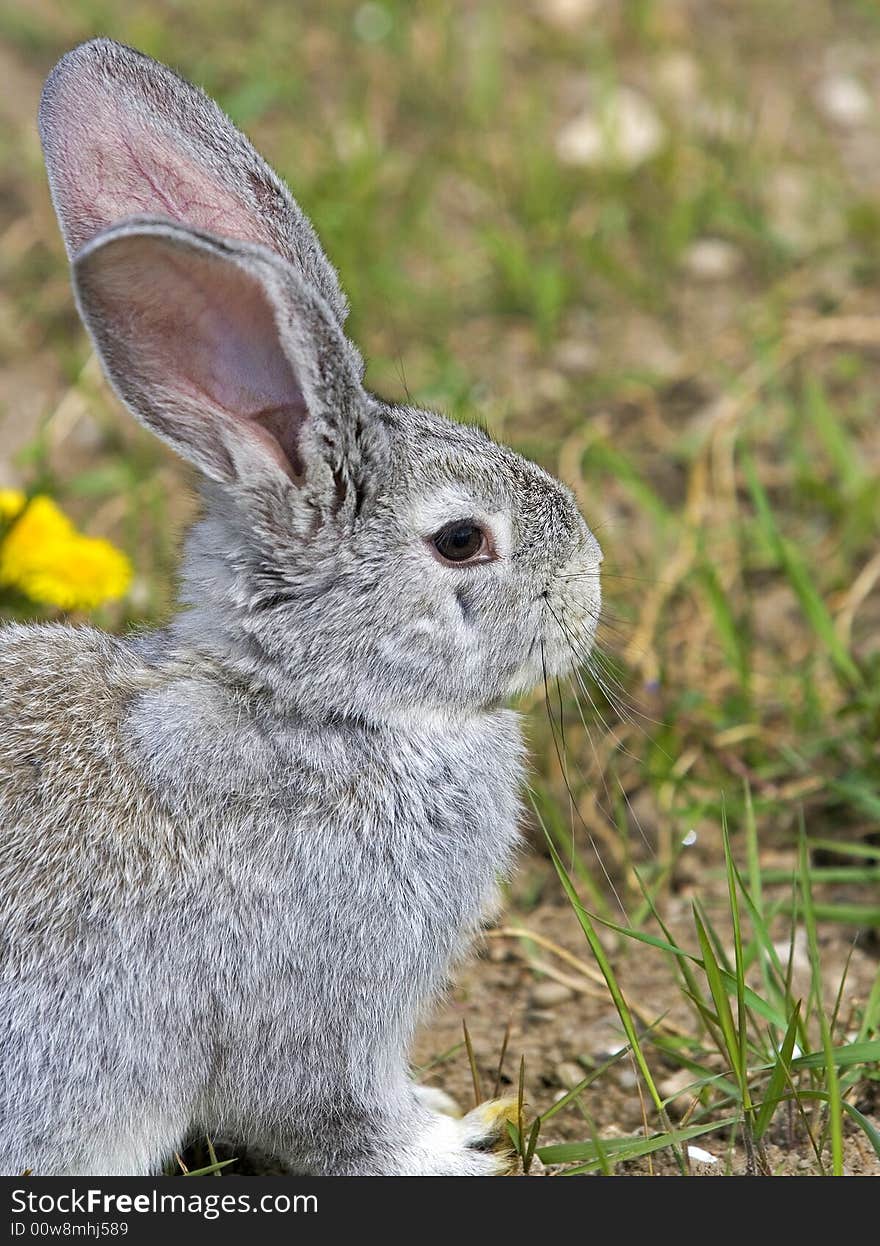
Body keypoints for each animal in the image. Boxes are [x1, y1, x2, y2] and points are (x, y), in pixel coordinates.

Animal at [0, 34, 600, 1171]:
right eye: (462, 540)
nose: (590, 593)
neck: (312, 710)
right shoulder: (314, 1015)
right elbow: (328, 1117)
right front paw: (450, 1147)